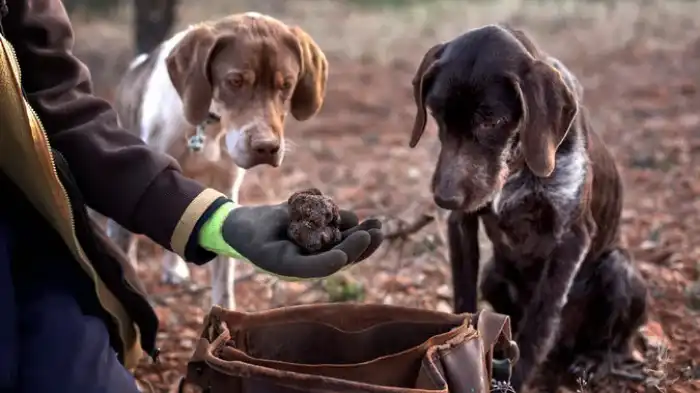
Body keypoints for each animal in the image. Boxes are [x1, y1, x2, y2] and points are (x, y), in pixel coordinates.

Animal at [107, 12, 330, 310]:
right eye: (235, 81)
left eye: (286, 84)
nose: (266, 148)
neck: (209, 126)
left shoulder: (224, 188)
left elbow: (223, 273)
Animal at [410, 24, 652, 388]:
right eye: (438, 115)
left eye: (491, 121)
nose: (444, 198)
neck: (518, 166)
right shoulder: (462, 226)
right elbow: (464, 300)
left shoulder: (571, 236)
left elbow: (540, 321)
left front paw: (517, 377)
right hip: (493, 274)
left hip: (618, 268)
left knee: (620, 344)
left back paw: (594, 360)